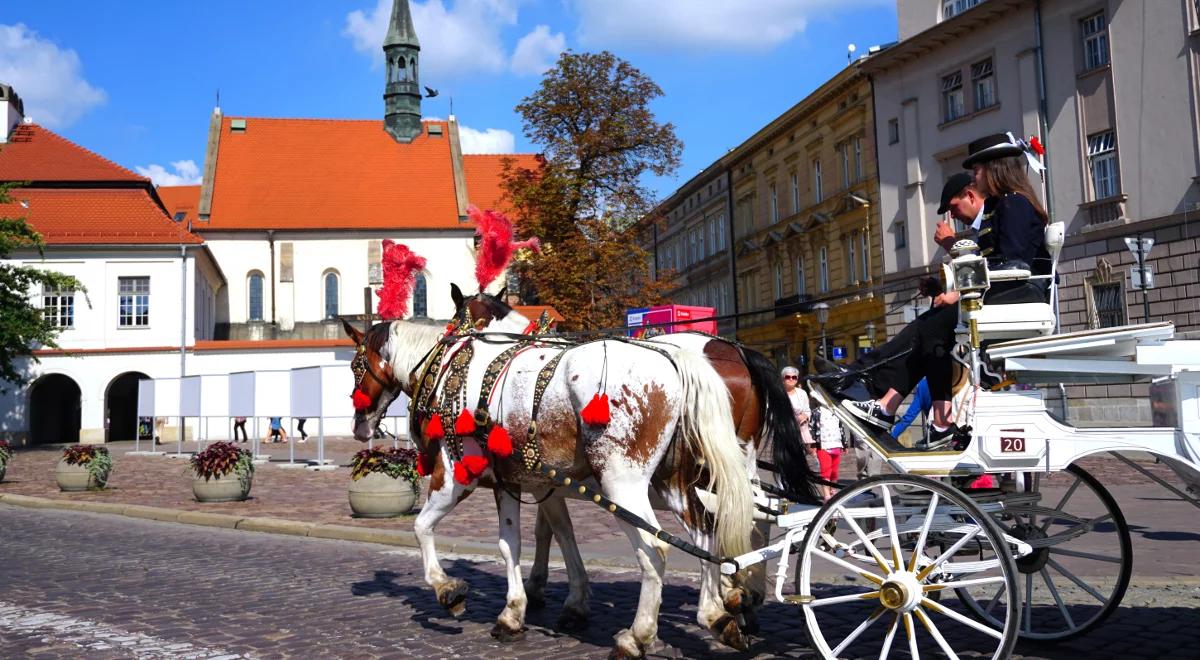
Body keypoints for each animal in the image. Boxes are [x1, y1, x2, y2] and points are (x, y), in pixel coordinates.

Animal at [343, 316, 748, 657]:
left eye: (355, 365)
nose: (359, 425)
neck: (446, 371)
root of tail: (676, 360)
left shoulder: (455, 475)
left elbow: (421, 526)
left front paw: (447, 589)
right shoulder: (515, 481)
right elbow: (520, 543)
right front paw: (515, 612)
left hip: (623, 483)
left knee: (655, 550)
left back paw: (637, 636)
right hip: (671, 483)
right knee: (705, 532)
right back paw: (715, 614)